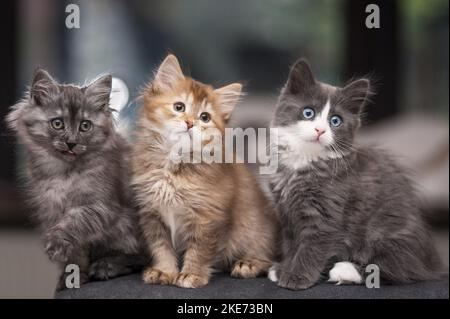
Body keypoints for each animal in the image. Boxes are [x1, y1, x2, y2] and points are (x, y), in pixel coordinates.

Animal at [6, 69, 148, 292]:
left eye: (85, 126)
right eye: (57, 123)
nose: (71, 142)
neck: (64, 173)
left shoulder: (100, 205)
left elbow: (74, 222)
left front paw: (57, 245)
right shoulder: (51, 207)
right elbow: (75, 254)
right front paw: (73, 276)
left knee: (144, 258)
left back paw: (108, 265)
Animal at [132, 55, 280, 290]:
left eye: (204, 117)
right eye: (179, 106)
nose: (190, 123)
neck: (174, 167)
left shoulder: (207, 217)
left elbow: (199, 251)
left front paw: (192, 275)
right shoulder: (151, 213)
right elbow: (161, 248)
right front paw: (164, 271)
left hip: (254, 230)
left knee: (269, 257)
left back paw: (249, 264)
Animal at [268, 59, 442, 290]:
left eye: (335, 121)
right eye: (308, 113)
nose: (320, 130)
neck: (304, 161)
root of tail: (432, 262)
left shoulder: (325, 214)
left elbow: (311, 247)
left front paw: (296, 276)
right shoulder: (286, 214)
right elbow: (291, 245)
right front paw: (283, 268)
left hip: (386, 231)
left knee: (400, 268)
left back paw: (345, 270)